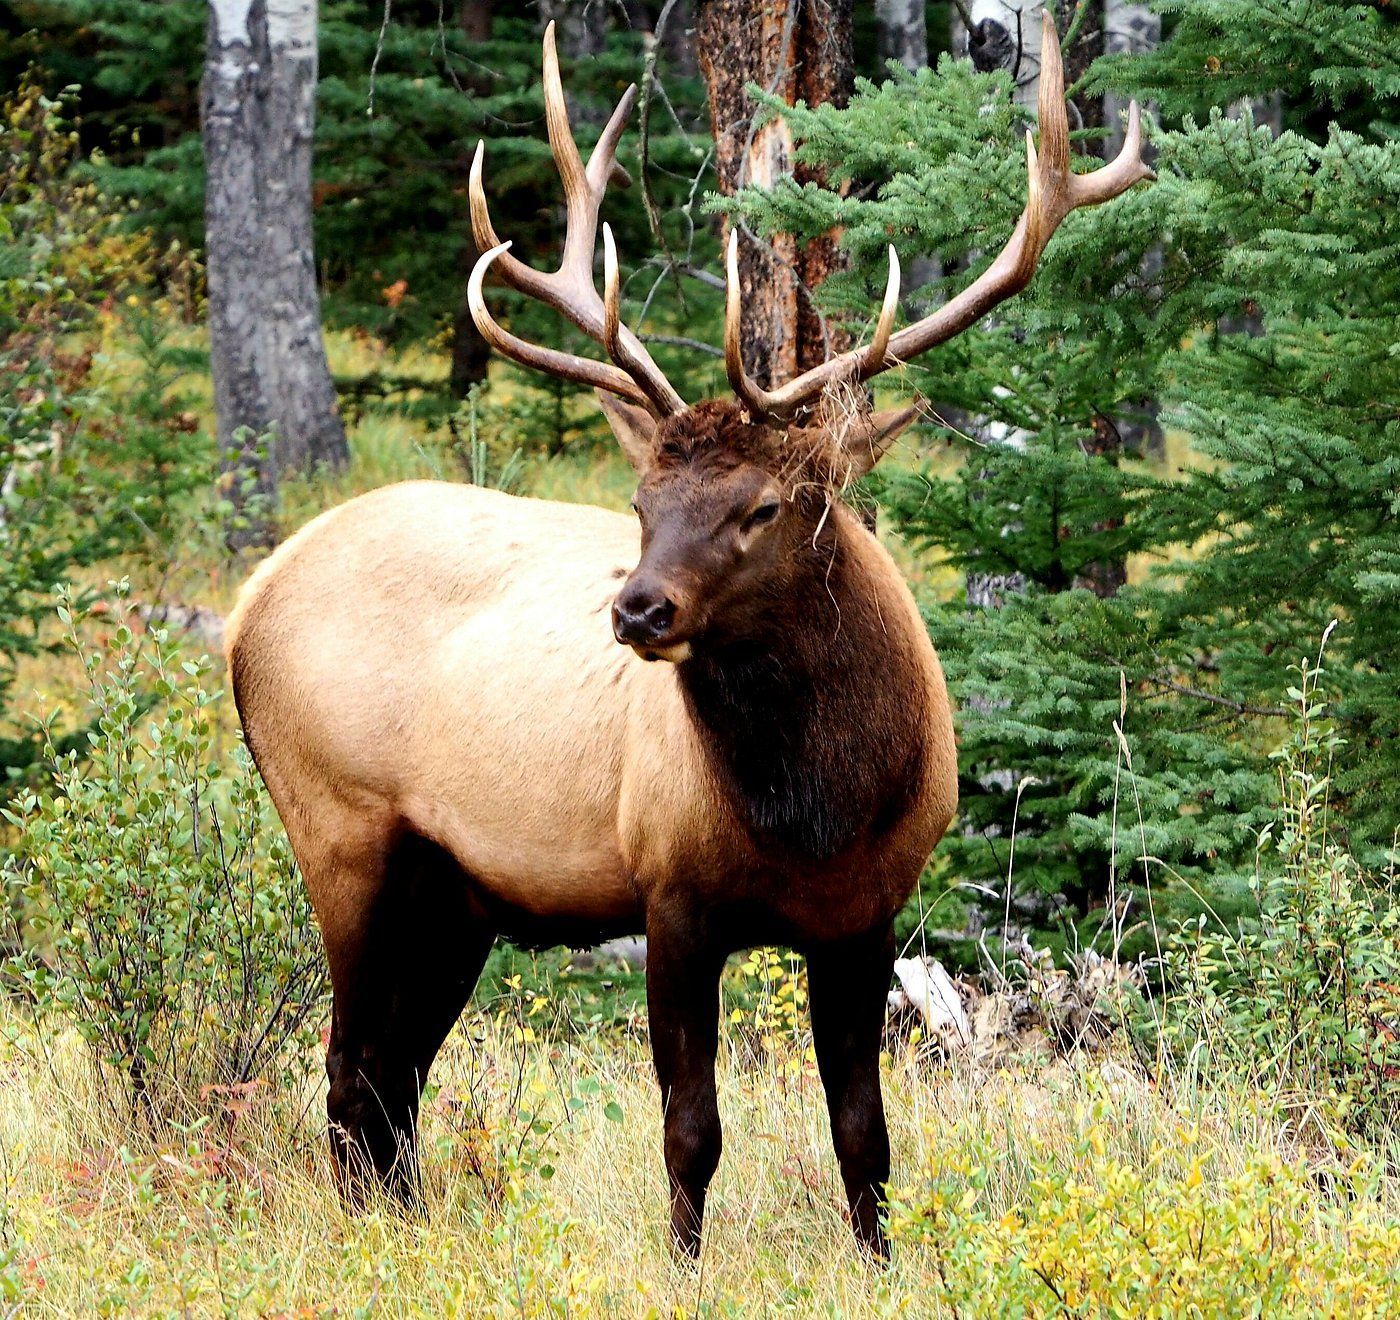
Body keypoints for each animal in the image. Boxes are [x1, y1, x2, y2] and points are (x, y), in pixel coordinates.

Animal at [225, 14, 1150, 1259]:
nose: (636, 608)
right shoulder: (668, 892)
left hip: (456, 893)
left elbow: (863, 1132)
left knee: (395, 1076)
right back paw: (373, 1240)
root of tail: (248, 601)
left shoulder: (870, 915)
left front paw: (879, 1263)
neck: (818, 813)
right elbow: (689, 1130)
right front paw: (683, 1267)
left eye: (763, 505)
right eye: (639, 500)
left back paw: (411, 1231)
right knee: (346, 1069)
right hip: (342, 832)